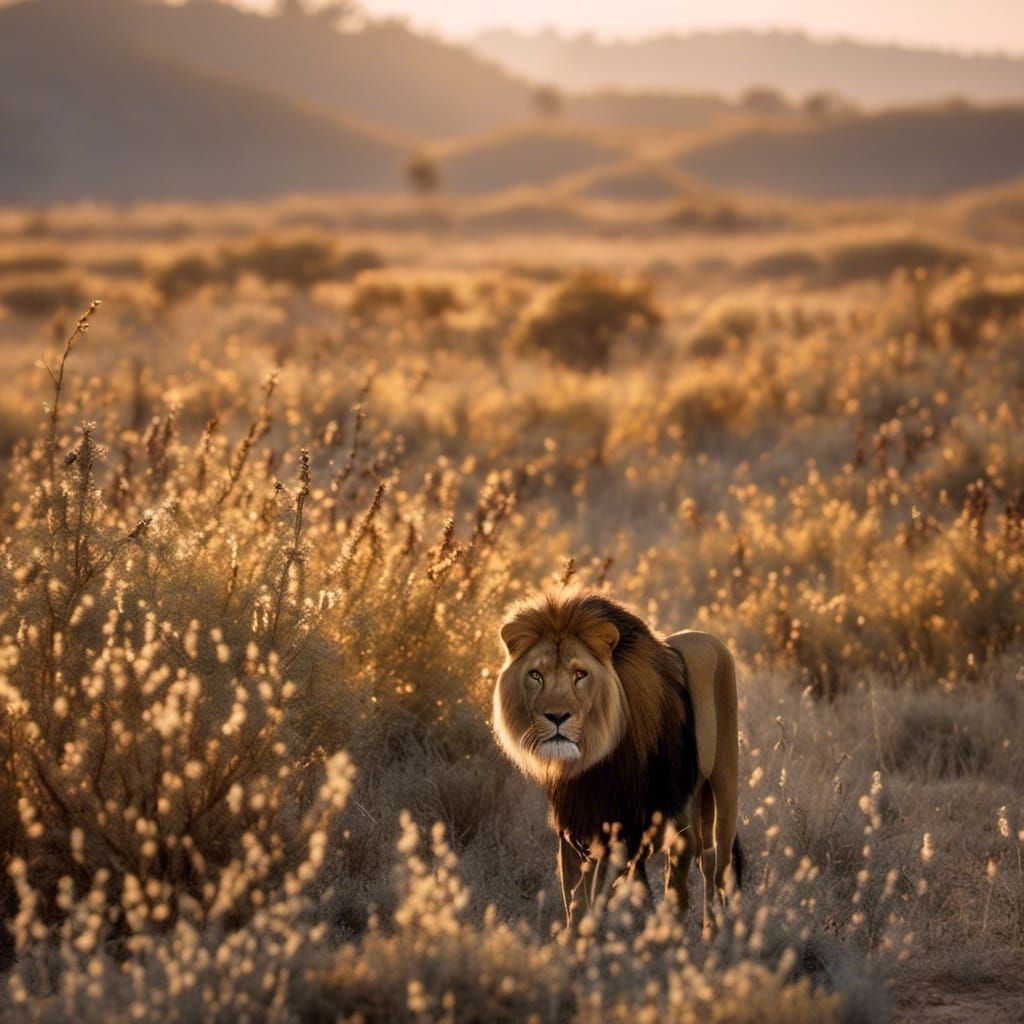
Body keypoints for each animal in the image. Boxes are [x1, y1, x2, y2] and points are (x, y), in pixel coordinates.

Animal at [492, 589, 741, 934]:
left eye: (580, 675)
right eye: (535, 675)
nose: (556, 716)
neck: (589, 763)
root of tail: (712, 640)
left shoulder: (621, 827)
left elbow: (594, 896)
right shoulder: (575, 826)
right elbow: (575, 899)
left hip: (723, 785)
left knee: (717, 865)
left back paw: (716, 932)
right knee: (698, 855)